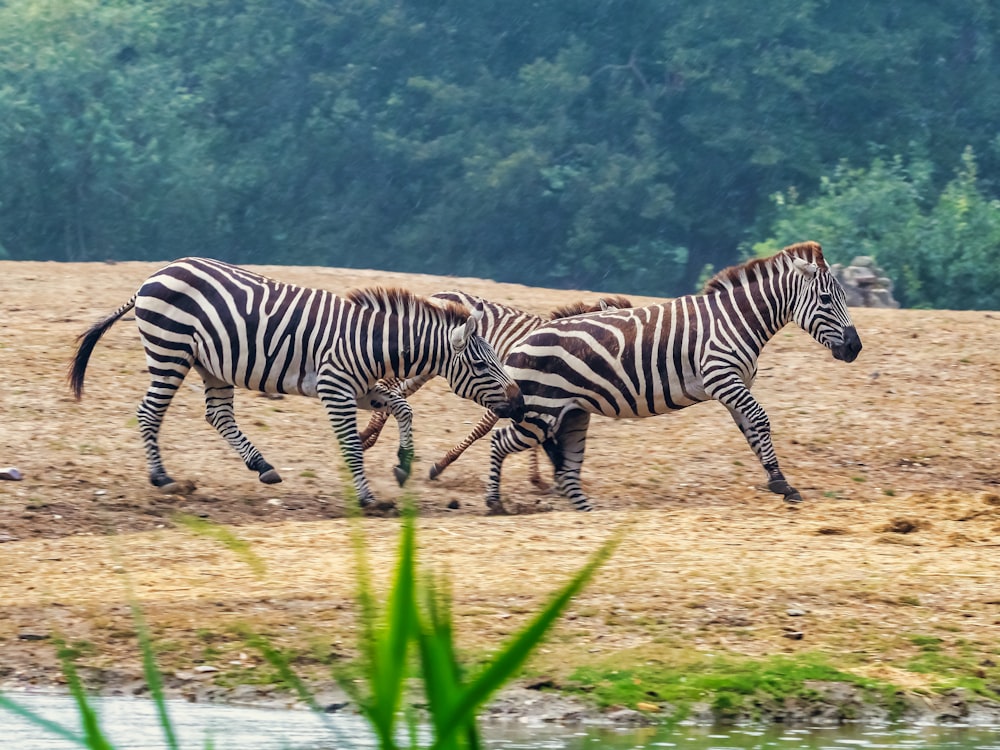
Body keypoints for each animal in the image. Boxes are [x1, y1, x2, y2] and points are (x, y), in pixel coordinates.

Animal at [67, 258, 524, 512]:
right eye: (482, 364)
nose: (520, 402)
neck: (372, 342)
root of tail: (154, 275)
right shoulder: (335, 387)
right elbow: (353, 446)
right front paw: (368, 499)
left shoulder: (360, 388)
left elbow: (403, 408)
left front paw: (403, 463)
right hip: (170, 351)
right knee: (149, 412)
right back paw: (162, 477)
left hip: (212, 365)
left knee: (218, 415)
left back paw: (262, 466)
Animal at [356, 290, 628, 484]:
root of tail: (439, 293)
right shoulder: (507, 392)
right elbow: (483, 429)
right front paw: (440, 465)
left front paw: (537, 476)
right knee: (390, 385)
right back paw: (366, 436)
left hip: (429, 368)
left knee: (396, 390)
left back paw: (368, 436)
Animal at [484, 244, 860, 516]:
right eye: (826, 299)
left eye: (844, 298)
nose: (854, 347)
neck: (736, 319)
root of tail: (520, 342)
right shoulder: (722, 379)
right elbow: (761, 420)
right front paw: (781, 483)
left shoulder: (735, 385)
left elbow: (752, 430)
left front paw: (779, 482)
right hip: (541, 411)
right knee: (501, 440)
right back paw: (494, 503)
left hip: (571, 413)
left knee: (568, 462)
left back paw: (586, 512)